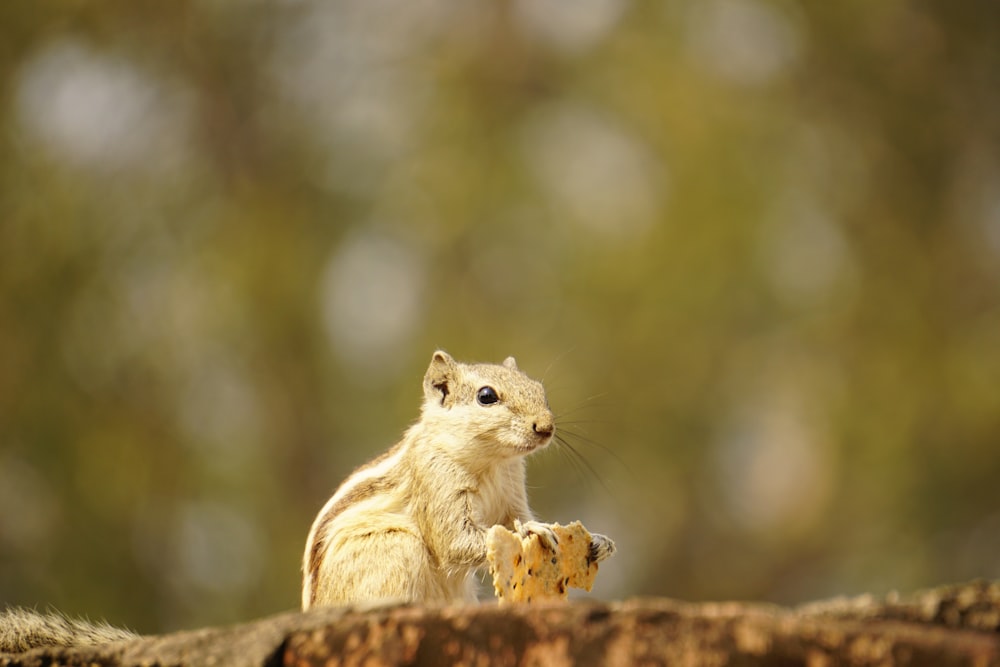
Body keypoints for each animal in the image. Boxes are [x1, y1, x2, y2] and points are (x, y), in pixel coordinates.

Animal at [300, 350, 612, 612]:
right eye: (486, 396)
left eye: (538, 388)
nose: (546, 428)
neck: (492, 461)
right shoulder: (437, 481)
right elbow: (456, 541)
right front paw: (532, 531)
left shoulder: (512, 493)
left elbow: (514, 518)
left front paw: (598, 542)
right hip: (398, 547)